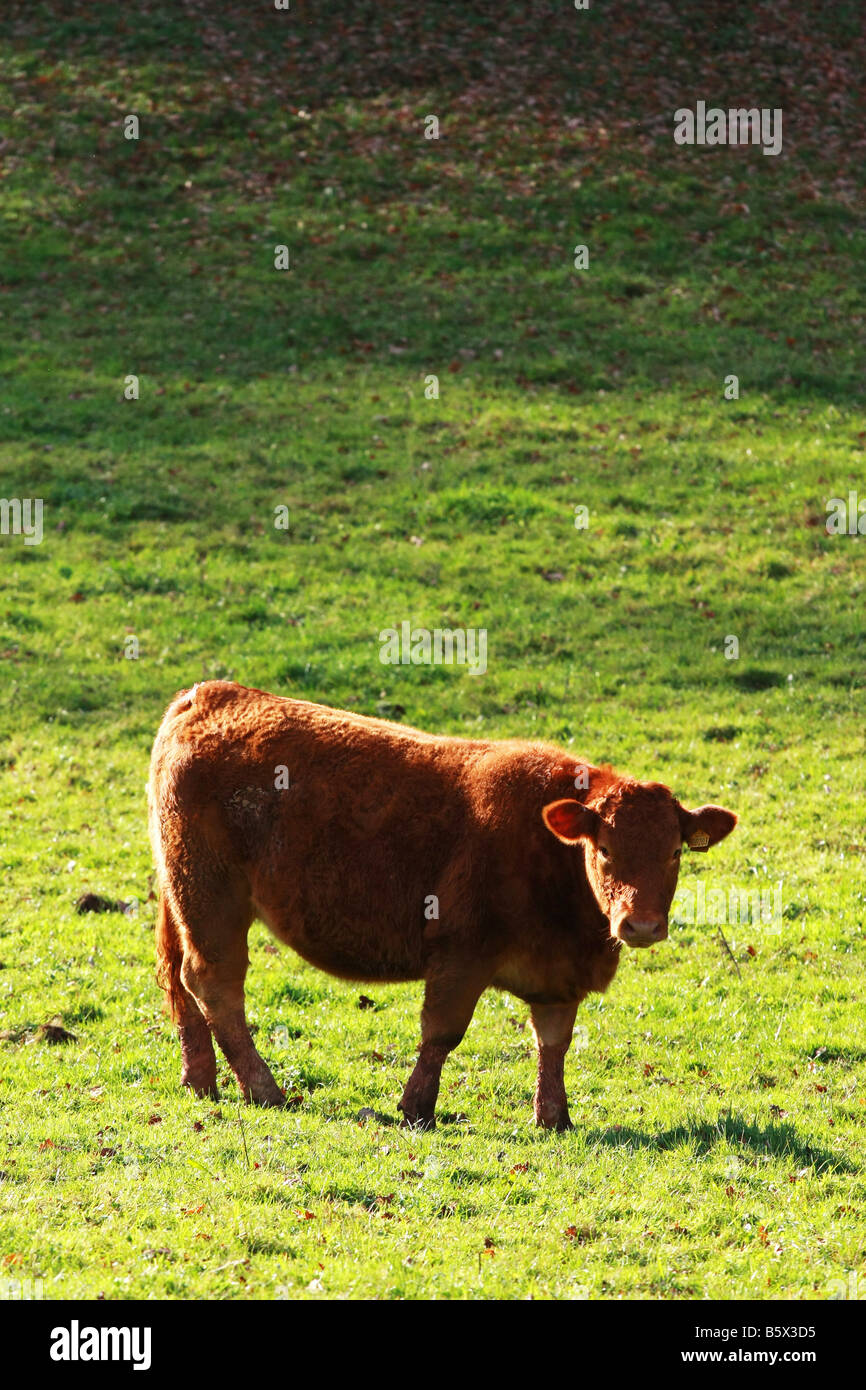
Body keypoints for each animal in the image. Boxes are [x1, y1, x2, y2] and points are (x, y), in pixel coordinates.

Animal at [149, 681, 737, 1130]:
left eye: (674, 852)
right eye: (606, 849)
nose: (641, 925)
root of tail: (209, 695)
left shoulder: (558, 977)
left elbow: (553, 1043)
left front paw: (554, 1117)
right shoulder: (460, 954)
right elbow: (442, 1033)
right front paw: (417, 1108)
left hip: (183, 898)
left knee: (180, 980)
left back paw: (201, 1082)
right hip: (211, 900)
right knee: (213, 983)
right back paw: (264, 1088)